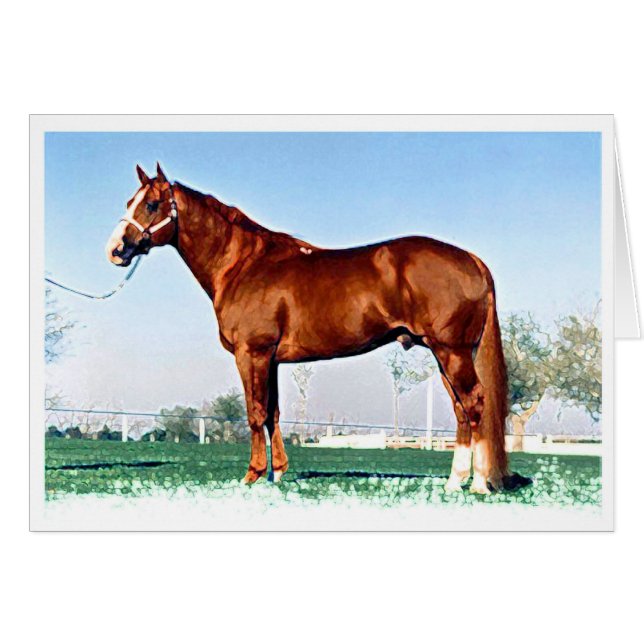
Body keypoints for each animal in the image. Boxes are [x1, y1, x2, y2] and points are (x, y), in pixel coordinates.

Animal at [107, 163, 529, 494]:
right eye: (129, 202)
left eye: (151, 204)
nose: (115, 250)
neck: (244, 265)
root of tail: (471, 259)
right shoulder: (272, 360)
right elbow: (273, 413)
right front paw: (278, 474)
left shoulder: (251, 353)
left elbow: (255, 413)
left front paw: (252, 475)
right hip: (447, 356)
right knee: (461, 410)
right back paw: (454, 481)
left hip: (451, 351)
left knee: (474, 404)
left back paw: (478, 483)